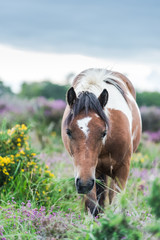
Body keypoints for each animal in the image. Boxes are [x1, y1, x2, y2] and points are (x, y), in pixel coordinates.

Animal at [61, 68, 141, 216]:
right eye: (68, 132)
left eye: (104, 132)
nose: (84, 184)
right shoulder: (88, 172)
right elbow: (92, 205)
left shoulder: (122, 169)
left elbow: (116, 204)